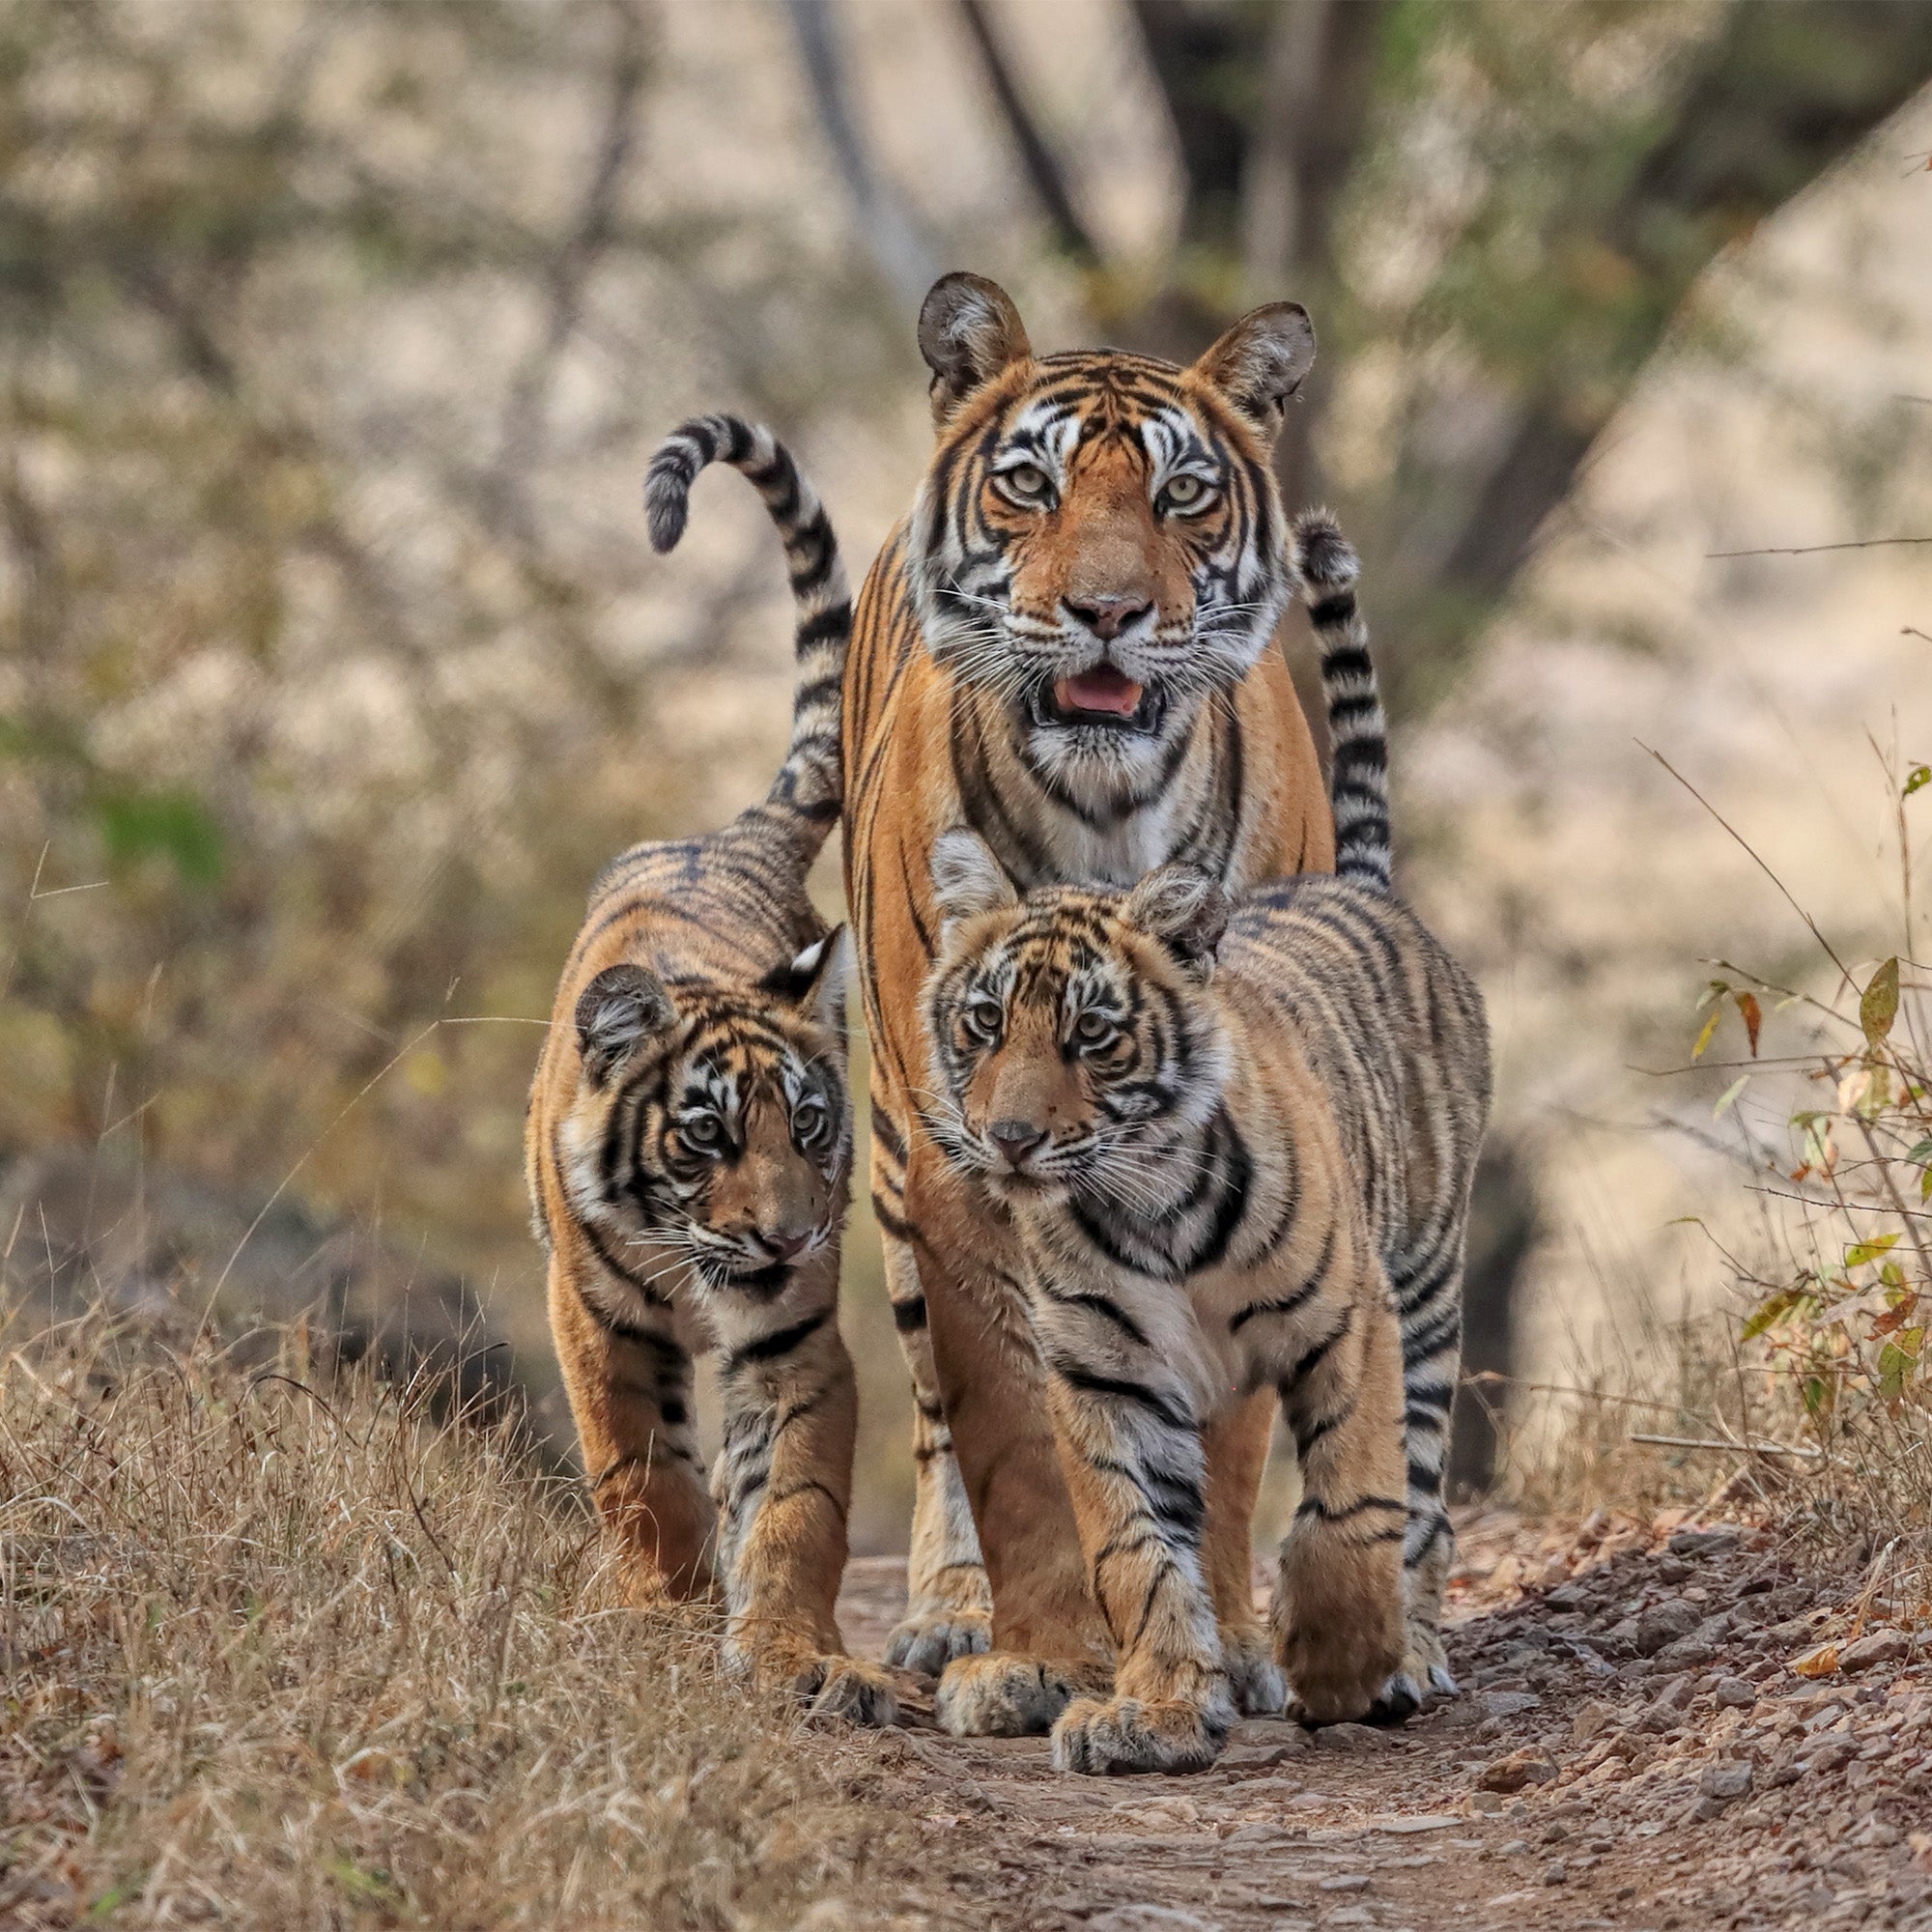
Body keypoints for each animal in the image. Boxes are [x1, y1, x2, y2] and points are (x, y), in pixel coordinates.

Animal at [846, 272, 1329, 1739]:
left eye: (1181, 497)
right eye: (1031, 486)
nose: (1107, 611)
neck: (1108, 810)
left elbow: (1224, 1443)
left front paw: (1225, 1643)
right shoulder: (956, 1158)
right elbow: (1011, 1430)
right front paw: (1044, 1656)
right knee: (936, 1417)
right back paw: (949, 1615)